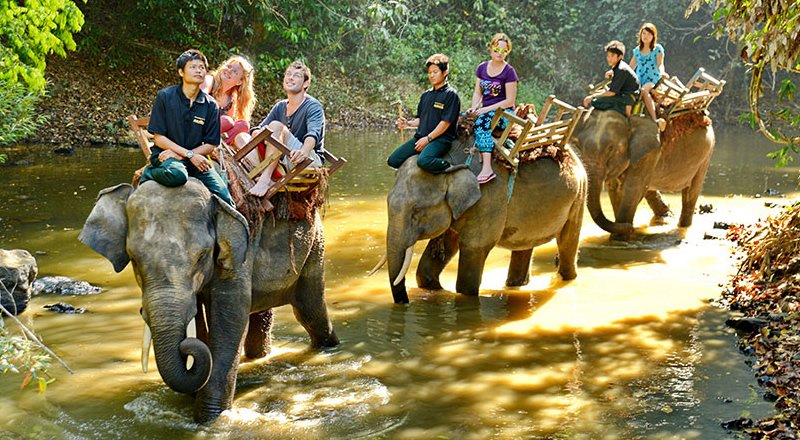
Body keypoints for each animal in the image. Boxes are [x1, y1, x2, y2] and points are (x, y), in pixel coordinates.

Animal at [79, 179, 338, 422]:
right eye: (133, 259)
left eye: (202, 256)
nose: (185, 347)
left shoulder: (239, 254)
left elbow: (230, 319)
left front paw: (209, 420)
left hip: (315, 245)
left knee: (309, 311)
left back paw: (328, 348)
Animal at [387, 139, 587, 303]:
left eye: (417, 210)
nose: (405, 303)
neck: (447, 163)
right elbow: (432, 264)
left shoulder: (488, 199)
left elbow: (472, 257)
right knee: (524, 246)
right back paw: (516, 285)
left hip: (579, 197)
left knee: (567, 242)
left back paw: (567, 278)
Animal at [571, 110, 714, 239]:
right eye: (578, 146)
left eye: (610, 148)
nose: (631, 228)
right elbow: (616, 189)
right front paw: (623, 232)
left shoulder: (650, 152)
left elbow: (632, 189)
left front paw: (618, 238)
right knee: (649, 189)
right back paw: (665, 217)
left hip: (706, 153)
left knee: (691, 191)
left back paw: (682, 225)